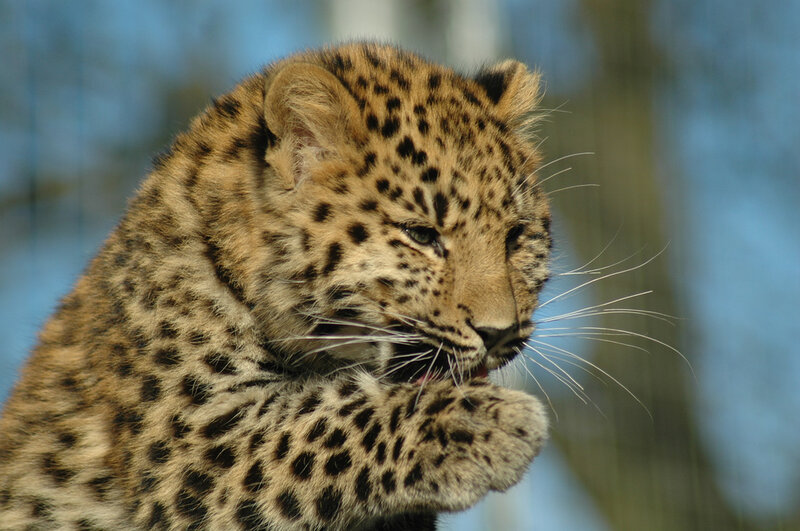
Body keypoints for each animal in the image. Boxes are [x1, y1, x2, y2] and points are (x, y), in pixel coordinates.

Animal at [0, 42, 552, 530]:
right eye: (421, 235)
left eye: (516, 237)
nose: (500, 333)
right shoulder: (193, 446)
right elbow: (323, 425)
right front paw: (480, 422)